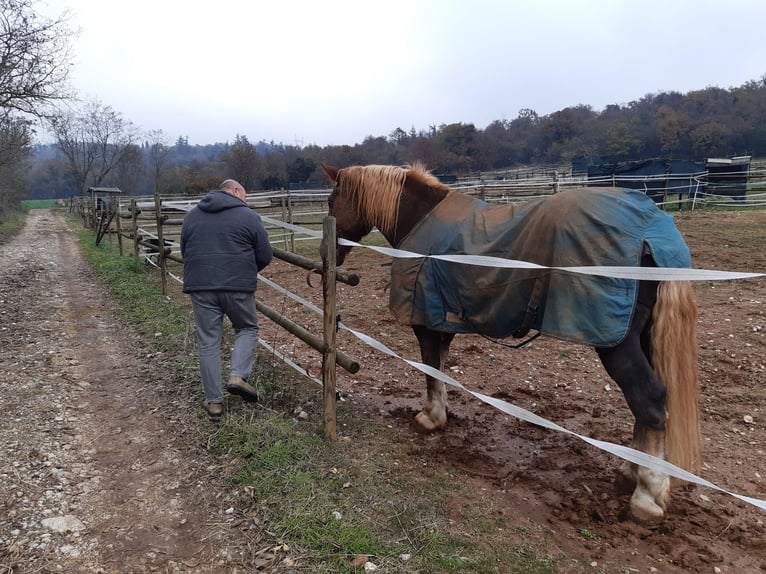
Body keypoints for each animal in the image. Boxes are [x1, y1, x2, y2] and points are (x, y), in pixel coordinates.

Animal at [320, 160, 704, 524]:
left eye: (331, 201)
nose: (329, 253)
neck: (421, 221)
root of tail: (652, 231)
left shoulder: (425, 325)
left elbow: (430, 371)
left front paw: (431, 418)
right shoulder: (441, 325)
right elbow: (440, 371)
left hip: (616, 344)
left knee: (648, 400)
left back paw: (647, 495)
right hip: (642, 338)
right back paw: (631, 472)